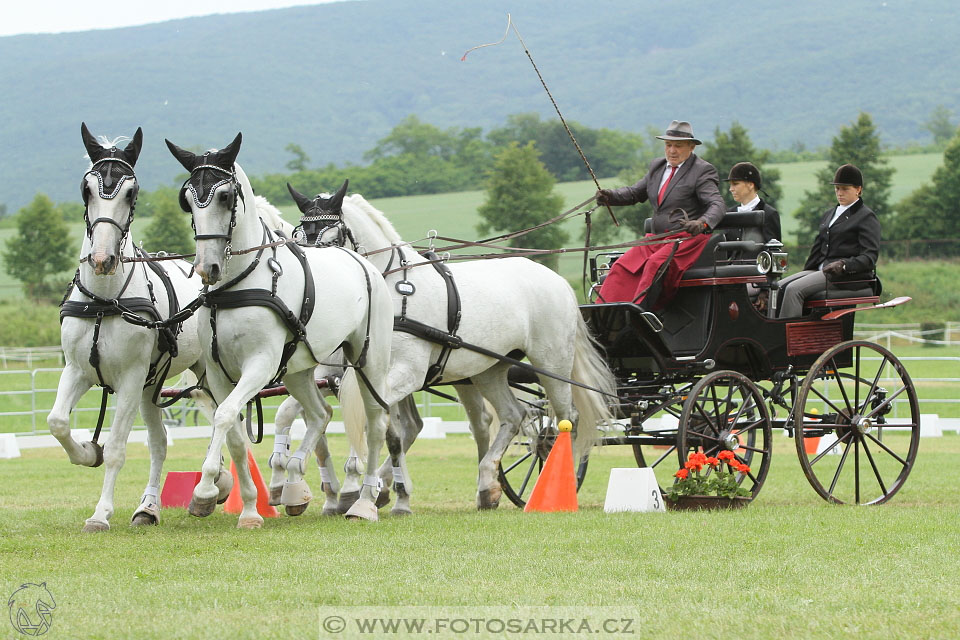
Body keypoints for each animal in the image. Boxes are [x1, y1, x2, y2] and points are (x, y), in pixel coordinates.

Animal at [47, 122, 218, 532]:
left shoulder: (128, 378)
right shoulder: (77, 370)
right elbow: (57, 422)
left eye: (132, 192)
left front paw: (100, 514)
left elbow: (117, 449)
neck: (104, 302)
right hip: (150, 387)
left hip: (201, 371)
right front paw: (86, 451)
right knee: (160, 442)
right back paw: (148, 508)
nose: (102, 259)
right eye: (86, 189)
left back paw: (214, 485)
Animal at [165, 132, 394, 524]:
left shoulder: (260, 365)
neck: (239, 284)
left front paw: (205, 488)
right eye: (187, 200)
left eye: (225, 196)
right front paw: (245, 506)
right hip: (299, 370)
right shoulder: (217, 372)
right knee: (320, 414)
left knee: (376, 423)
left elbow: (224, 415)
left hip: (370, 362)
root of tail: (360, 261)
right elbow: (233, 432)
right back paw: (294, 485)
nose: (208, 267)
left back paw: (363, 501)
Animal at [284, 182, 616, 512]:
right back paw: (487, 486)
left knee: (565, 419)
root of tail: (555, 279)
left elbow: (375, 422)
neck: (393, 291)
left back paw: (561, 483)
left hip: (551, 363)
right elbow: (389, 431)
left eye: (331, 240)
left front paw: (365, 490)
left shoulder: (407, 373)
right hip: (489, 369)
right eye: (298, 239)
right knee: (512, 415)